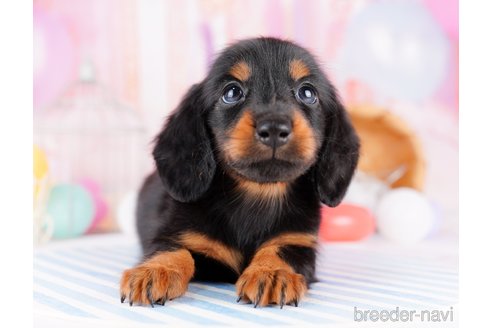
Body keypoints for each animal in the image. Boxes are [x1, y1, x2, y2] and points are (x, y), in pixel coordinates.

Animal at [119, 37, 358, 308]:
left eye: (308, 93)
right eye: (231, 92)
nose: (274, 128)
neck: (257, 194)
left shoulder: (298, 240)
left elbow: (280, 250)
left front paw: (271, 272)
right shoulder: (176, 232)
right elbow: (172, 250)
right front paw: (155, 271)